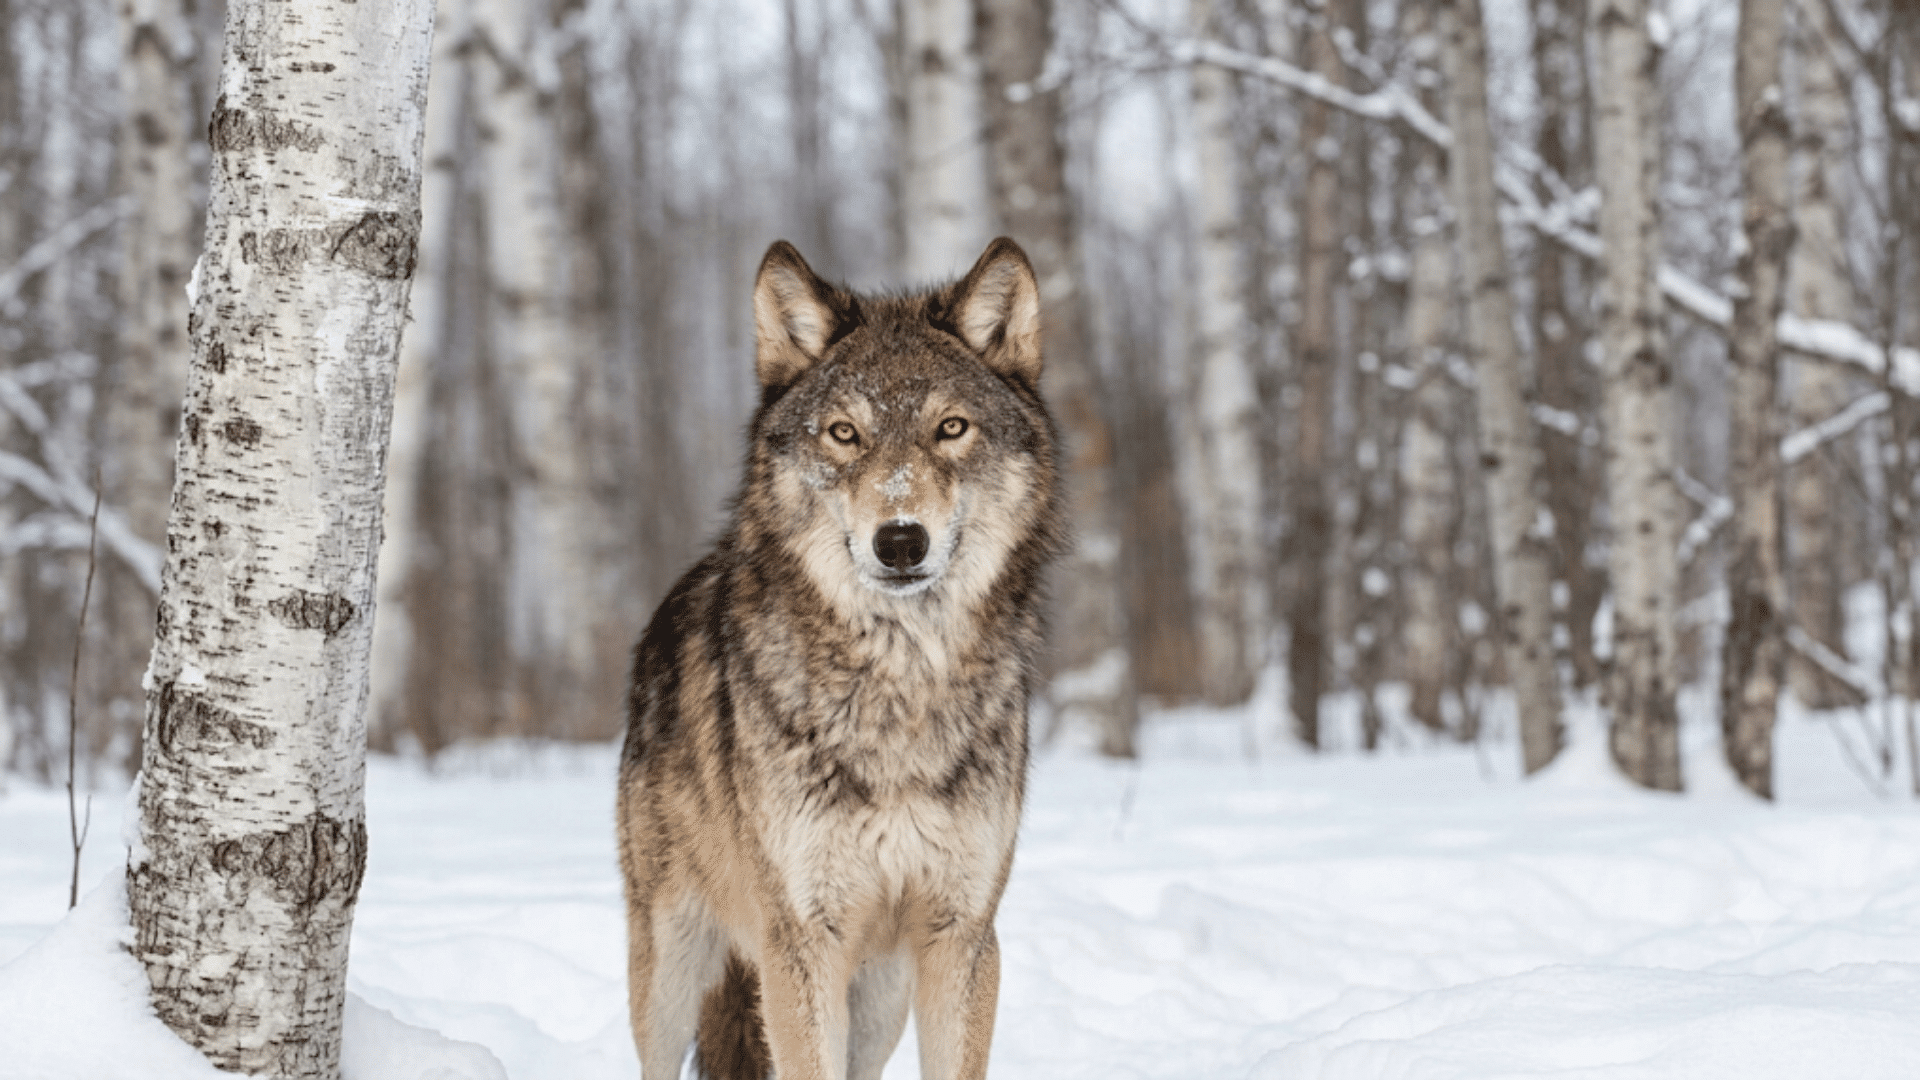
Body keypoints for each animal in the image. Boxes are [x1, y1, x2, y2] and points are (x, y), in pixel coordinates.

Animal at [616, 236, 1063, 1080]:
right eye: (844, 434)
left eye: (950, 428)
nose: (901, 540)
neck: (900, 684)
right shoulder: (799, 942)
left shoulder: (961, 936)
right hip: (670, 967)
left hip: (880, 993)